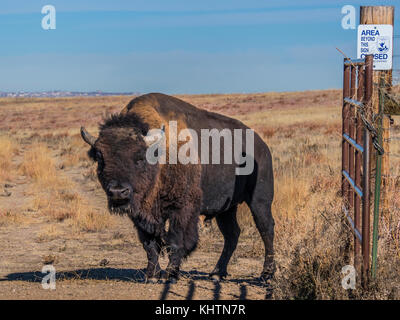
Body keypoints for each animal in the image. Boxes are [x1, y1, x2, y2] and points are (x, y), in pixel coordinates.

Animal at [81, 92, 276, 282]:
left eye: (140, 156)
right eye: (100, 157)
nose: (118, 192)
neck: (159, 154)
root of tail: (263, 146)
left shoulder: (182, 208)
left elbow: (175, 240)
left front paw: (170, 275)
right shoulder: (140, 214)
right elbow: (150, 244)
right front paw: (152, 275)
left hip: (259, 201)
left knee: (266, 228)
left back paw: (266, 275)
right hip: (226, 209)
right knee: (232, 234)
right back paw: (216, 273)